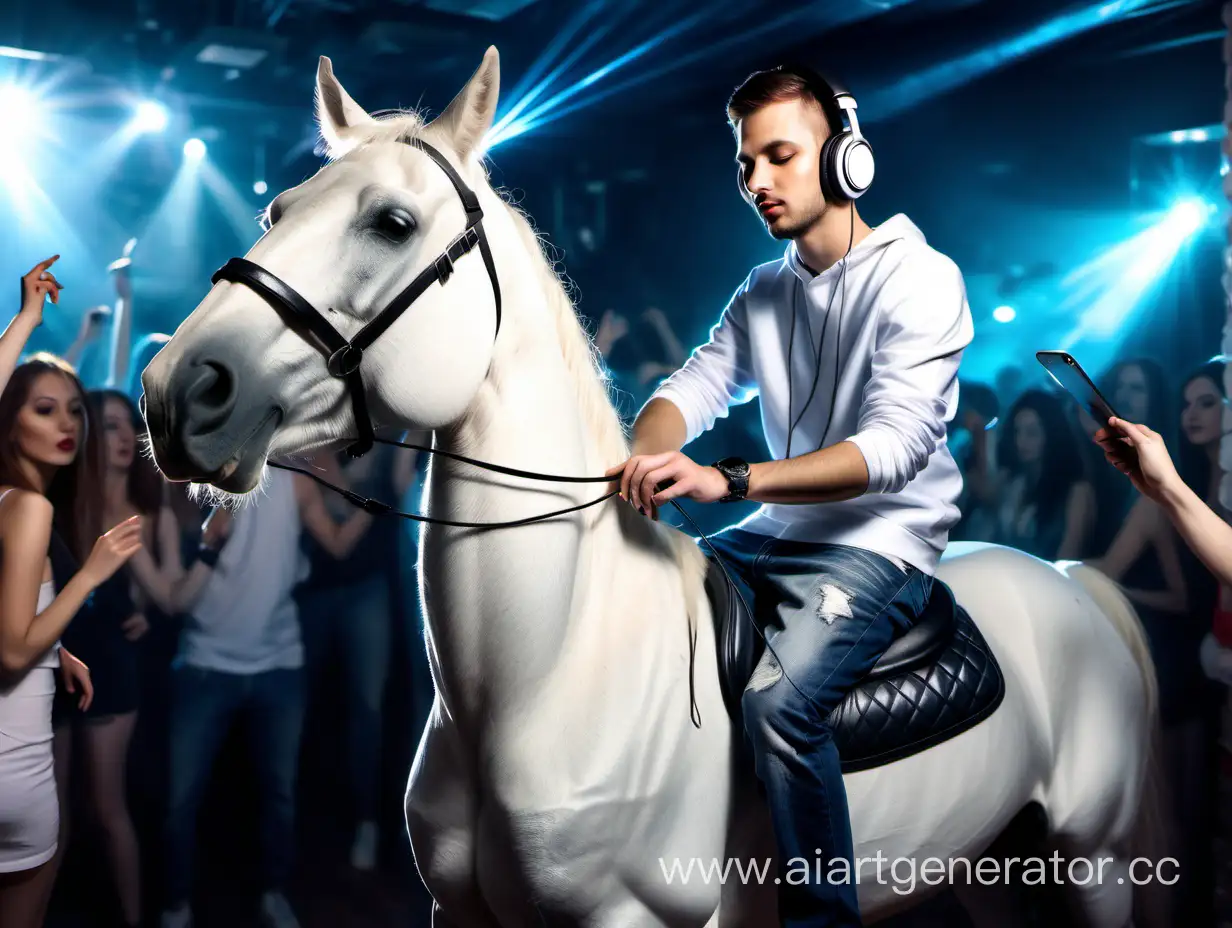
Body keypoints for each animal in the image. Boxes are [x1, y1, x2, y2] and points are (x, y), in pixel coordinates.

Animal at [141, 48, 1163, 926]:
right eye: (276, 211)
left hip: (1098, 867)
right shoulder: (461, 912)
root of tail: (1071, 580)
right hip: (997, 871)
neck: (547, 675)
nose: (178, 390)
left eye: (390, 223)